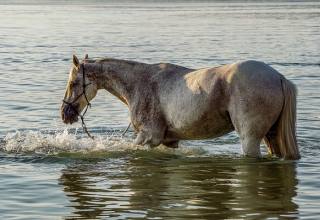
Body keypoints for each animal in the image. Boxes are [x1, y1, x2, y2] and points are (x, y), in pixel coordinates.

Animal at [60, 54, 300, 159]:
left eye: (72, 83)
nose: (65, 114)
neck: (140, 83)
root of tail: (278, 77)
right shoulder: (169, 141)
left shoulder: (148, 137)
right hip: (271, 137)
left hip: (249, 139)